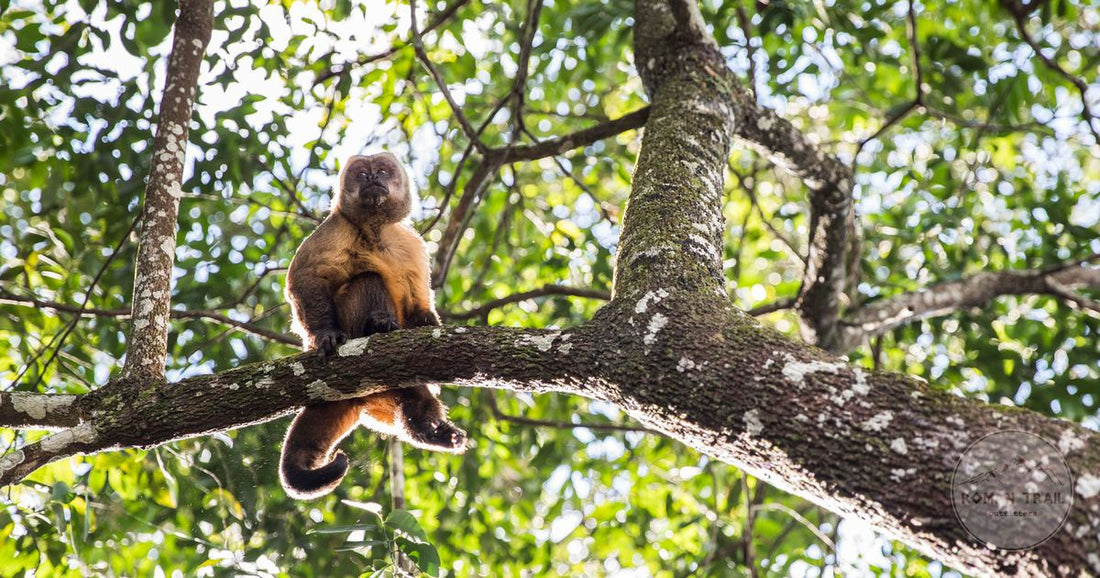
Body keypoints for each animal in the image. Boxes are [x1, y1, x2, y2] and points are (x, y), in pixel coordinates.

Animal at [280, 152, 467, 500]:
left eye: (381, 171)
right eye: (361, 174)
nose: (372, 178)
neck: (375, 230)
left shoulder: (411, 243)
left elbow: (418, 306)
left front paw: (427, 324)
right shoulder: (334, 228)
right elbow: (305, 278)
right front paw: (324, 335)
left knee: (414, 391)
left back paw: (427, 429)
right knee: (366, 279)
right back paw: (376, 325)